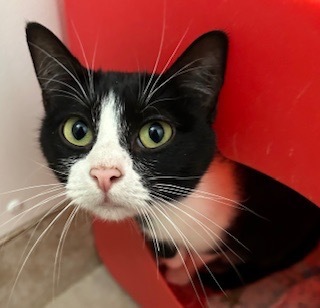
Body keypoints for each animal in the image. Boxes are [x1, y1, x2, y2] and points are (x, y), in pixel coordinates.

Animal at [25, 21, 320, 292]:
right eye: (77, 130)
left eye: (155, 133)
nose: (104, 173)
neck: (173, 209)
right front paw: (171, 259)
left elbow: (210, 252)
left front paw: (182, 271)